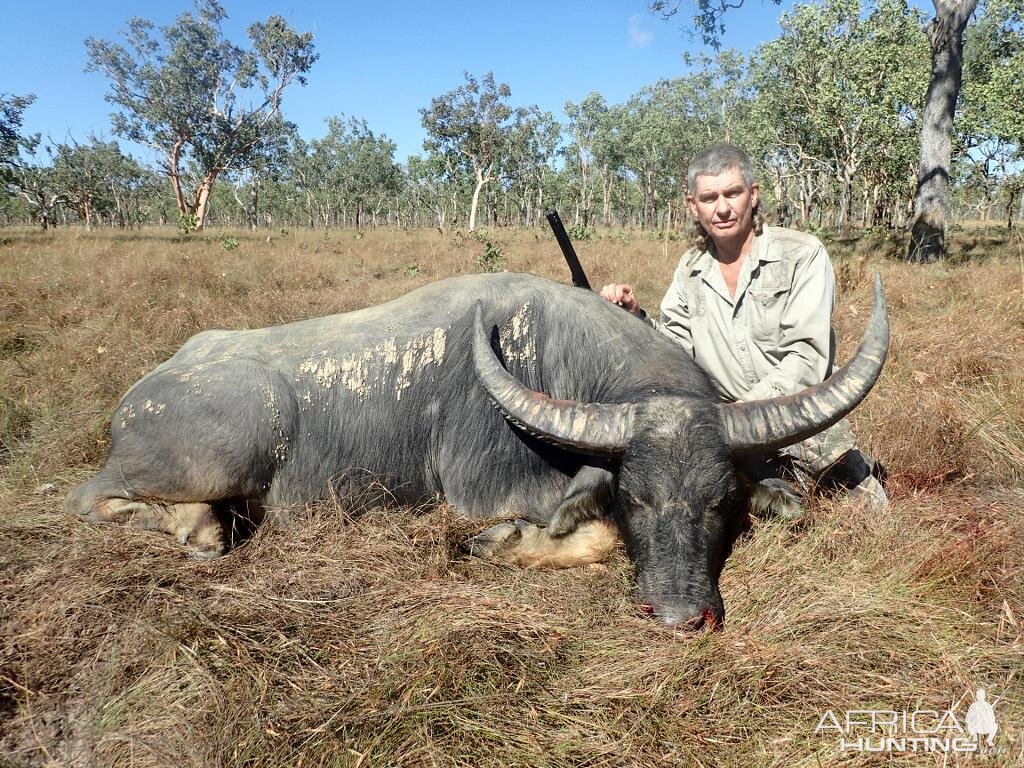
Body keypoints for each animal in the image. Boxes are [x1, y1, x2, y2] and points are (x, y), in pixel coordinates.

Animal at [70, 274, 888, 630]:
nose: (682, 616)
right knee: (90, 499)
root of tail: (146, 389)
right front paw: (497, 545)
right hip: (234, 440)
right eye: (635, 497)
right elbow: (580, 531)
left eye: (721, 503)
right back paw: (198, 529)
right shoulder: (483, 492)